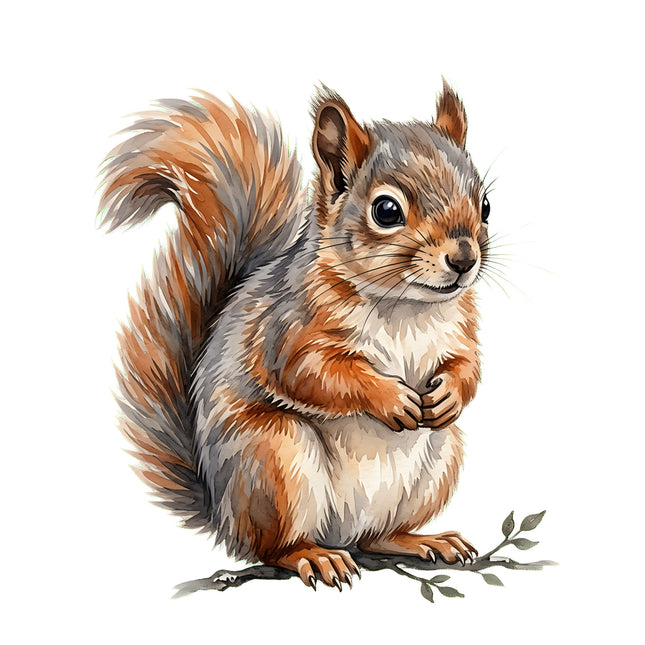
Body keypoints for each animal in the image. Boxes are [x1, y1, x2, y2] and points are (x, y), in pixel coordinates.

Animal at [98, 80, 489, 590]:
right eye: (386, 211)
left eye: (485, 205)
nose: (464, 259)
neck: (406, 306)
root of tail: (223, 515)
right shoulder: (284, 329)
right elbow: (312, 373)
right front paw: (388, 397)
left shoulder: (460, 329)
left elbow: (468, 365)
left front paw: (449, 395)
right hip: (274, 461)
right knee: (273, 546)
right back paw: (312, 556)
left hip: (440, 460)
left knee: (377, 537)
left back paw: (421, 540)